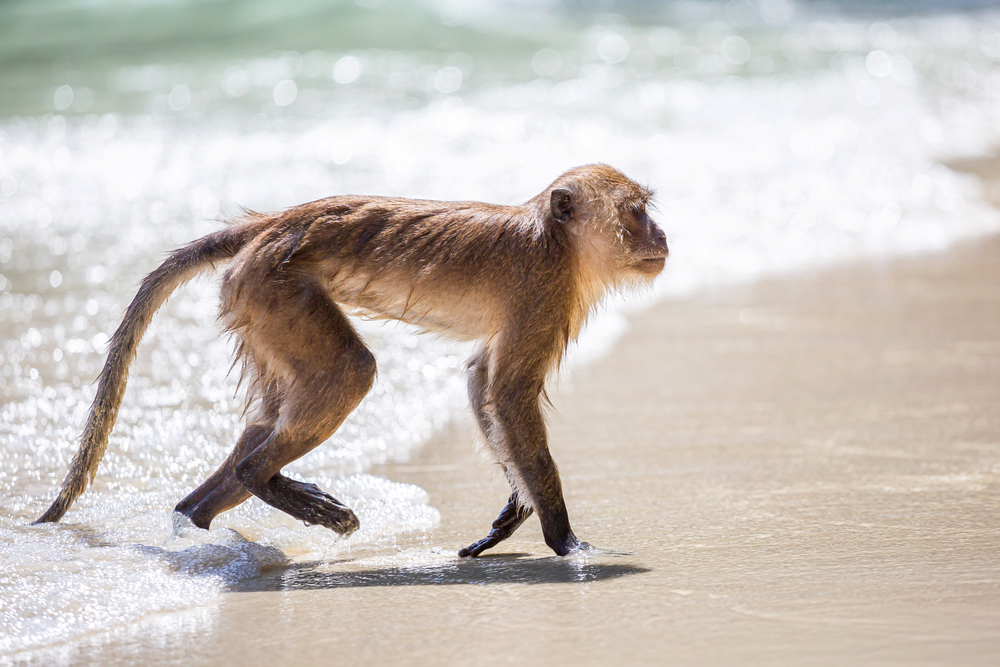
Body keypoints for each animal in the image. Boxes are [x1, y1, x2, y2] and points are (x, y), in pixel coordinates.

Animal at [33, 164, 668, 558]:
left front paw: (515, 510)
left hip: (256, 303)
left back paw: (197, 516)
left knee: (272, 414)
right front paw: (564, 539)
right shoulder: (544, 288)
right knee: (347, 374)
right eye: (635, 212)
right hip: (273, 289)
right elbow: (507, 391)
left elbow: (483, 381)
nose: (661, 233)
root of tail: (268, 225)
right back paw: (255, 478)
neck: (557, 241)